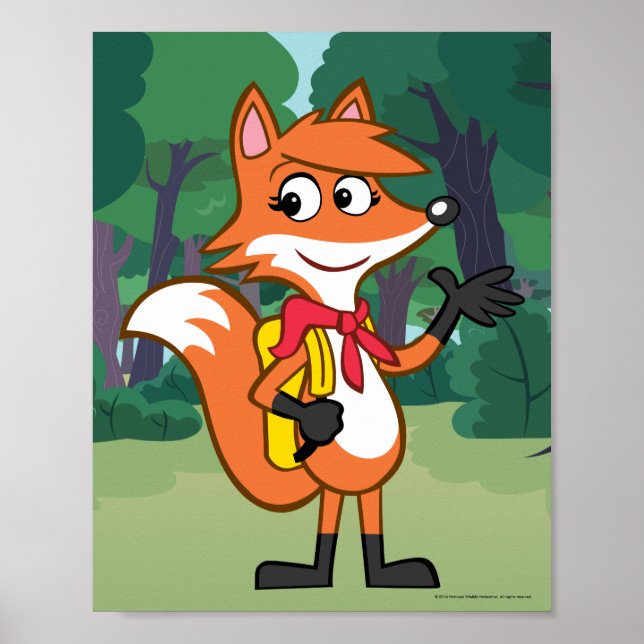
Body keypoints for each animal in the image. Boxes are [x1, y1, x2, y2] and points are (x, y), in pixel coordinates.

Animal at [122, 79, 523, 590]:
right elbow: (263, 392)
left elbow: (406, 361)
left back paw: (386, 574)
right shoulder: (297, 355)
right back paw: (307, 574)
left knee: (368, 508)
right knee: (329, 511)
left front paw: (463, 296)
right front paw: (318, 419)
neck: (339, 317)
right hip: (331, 475)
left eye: (360, 192)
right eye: (295, 201)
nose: (440, 210)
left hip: (371, 481)